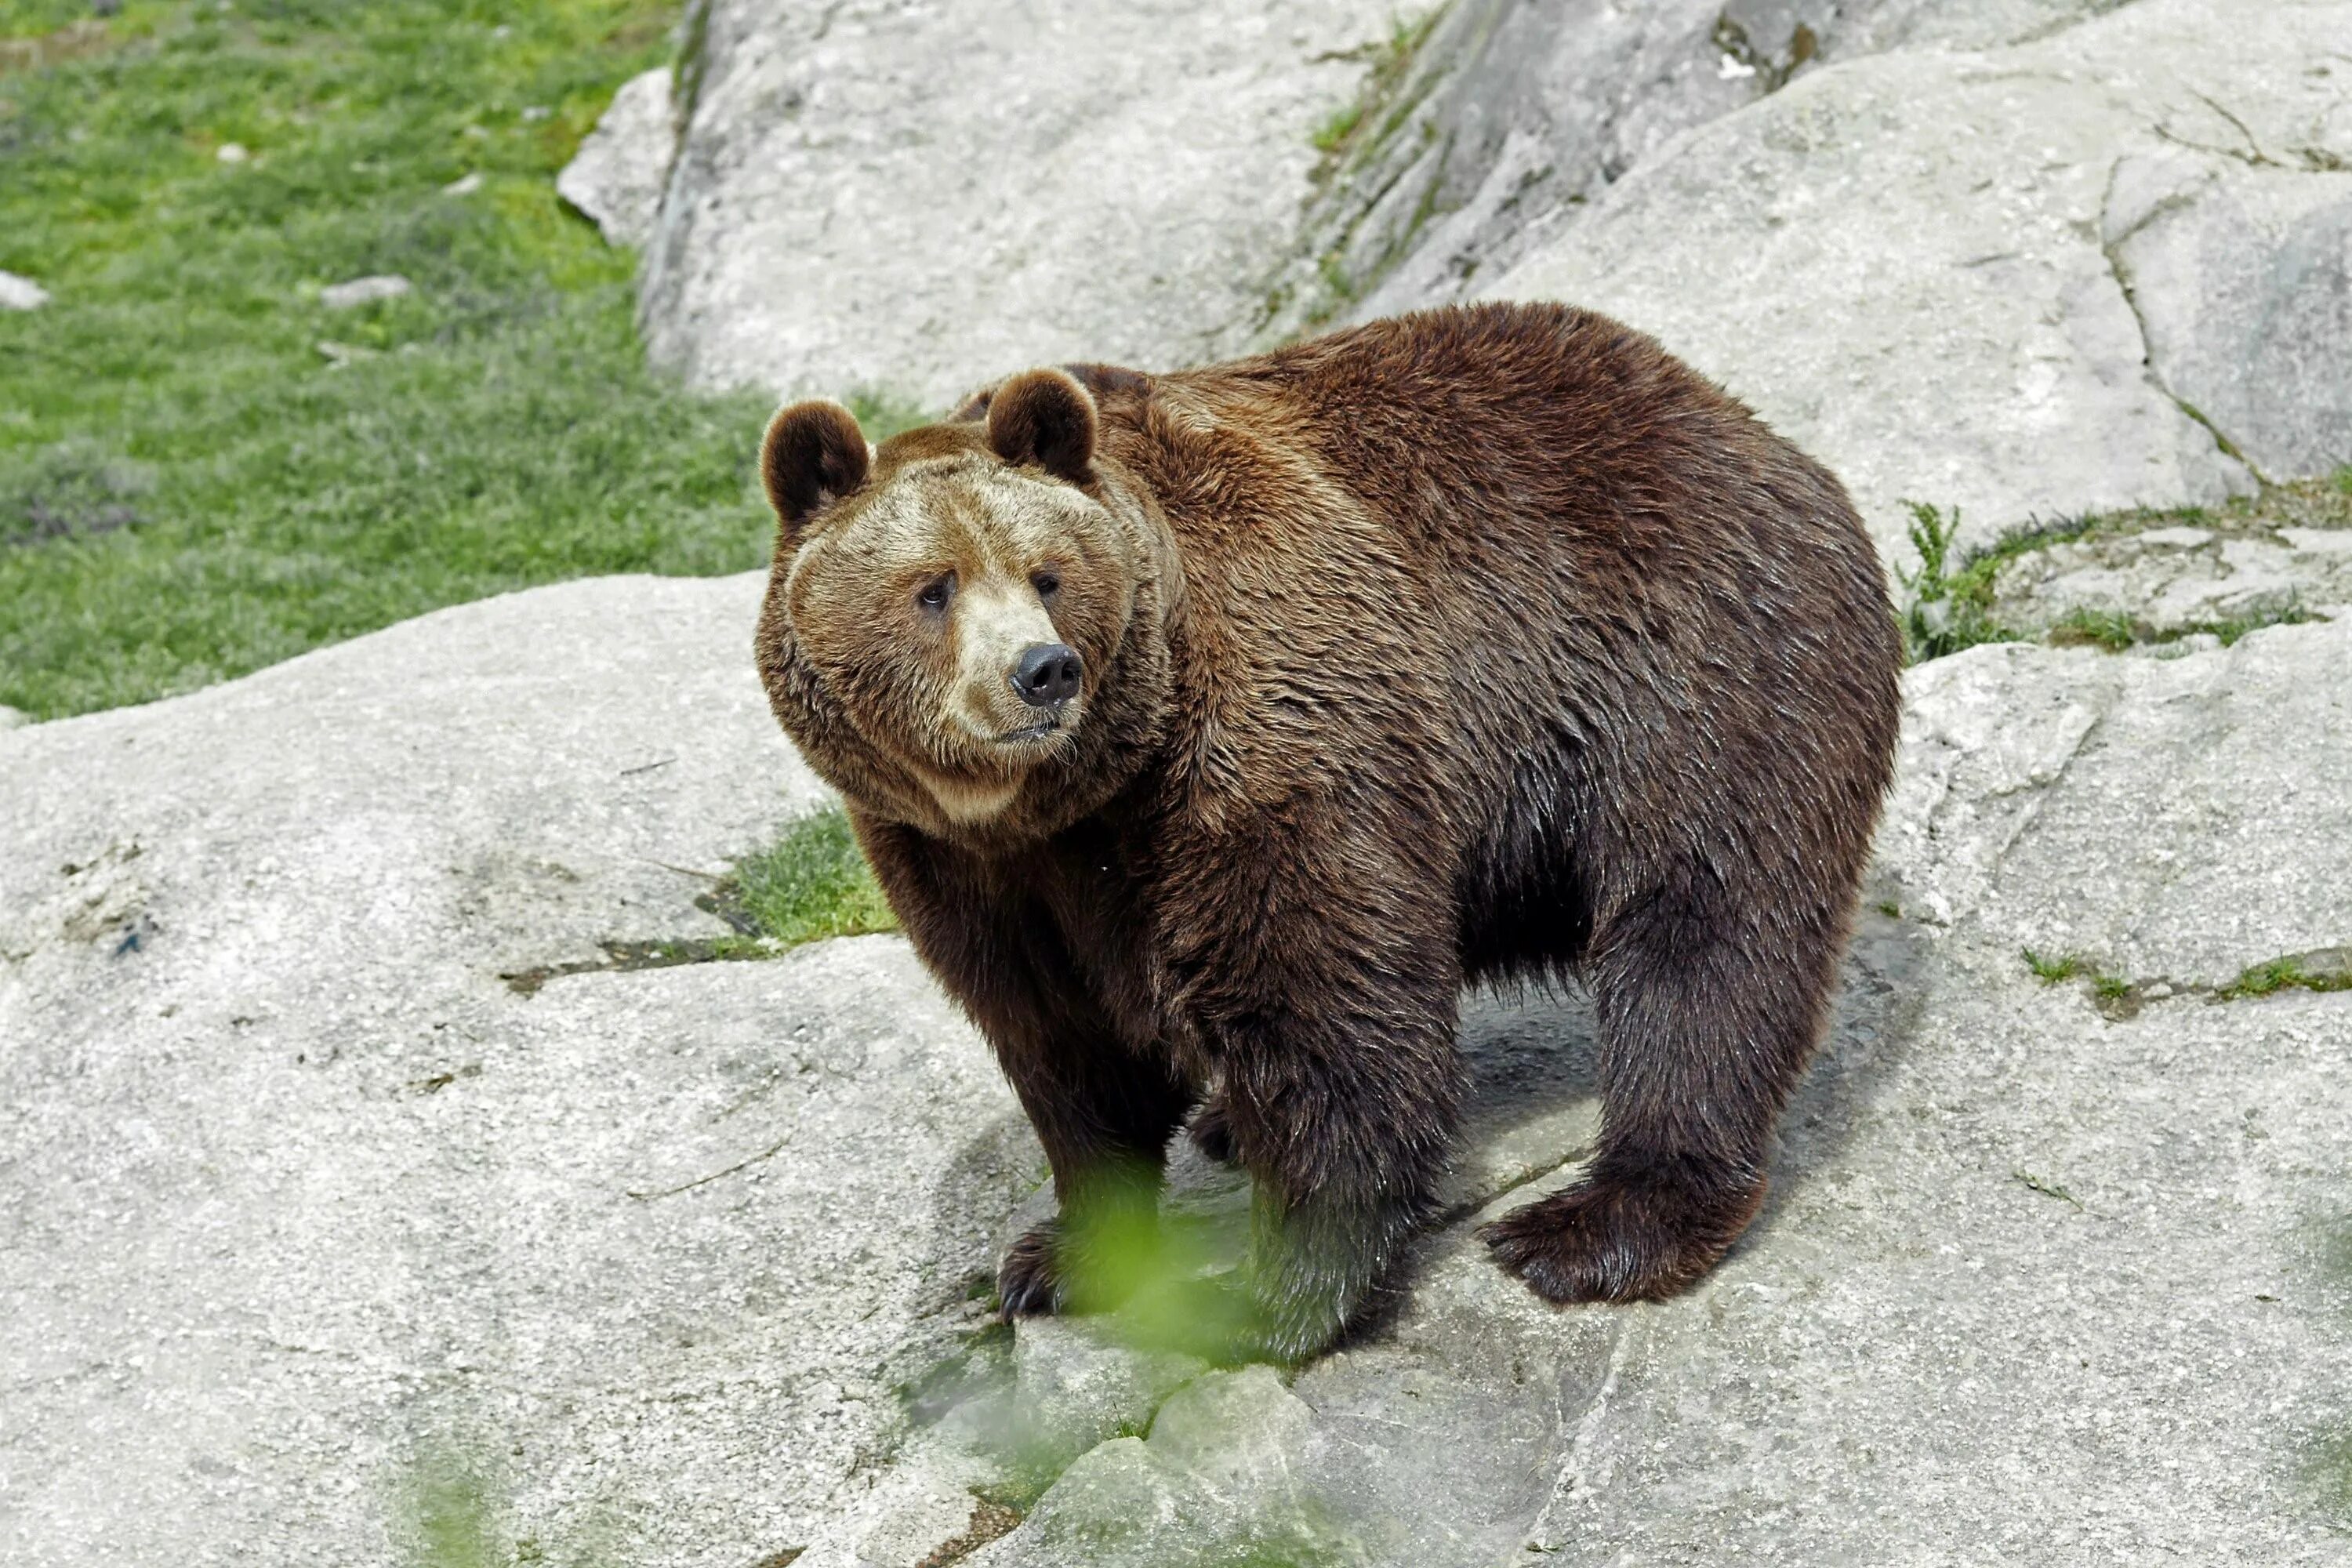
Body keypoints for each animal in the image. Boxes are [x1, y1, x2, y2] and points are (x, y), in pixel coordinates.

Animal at [762, 303, 1900, 1363]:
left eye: (1047, 572)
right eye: (933, 587)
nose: (1042, 672)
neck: (1069, 800)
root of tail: (1744, 422)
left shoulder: (1264, 733)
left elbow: (1324, 1010)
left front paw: (1269, 1293)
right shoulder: (958, 864)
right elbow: (1063, 1042)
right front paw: (1061, 1256)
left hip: (1698, 665)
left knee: (1705, 935)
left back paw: (1598, 1223)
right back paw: (1228, 1125)